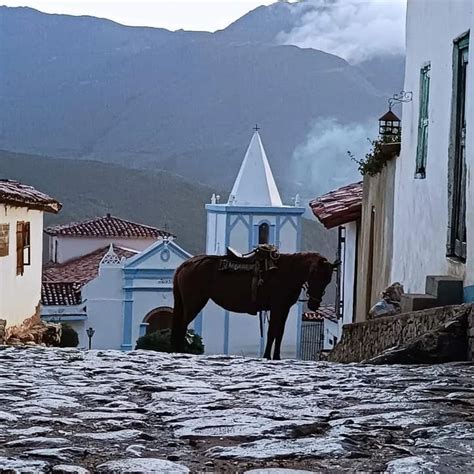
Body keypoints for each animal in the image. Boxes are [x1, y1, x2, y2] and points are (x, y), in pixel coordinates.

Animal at [170, 252, 336, 360]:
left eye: (328, 279)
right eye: (315, 274)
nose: (314, 304)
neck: (287, 272)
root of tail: (185, 265)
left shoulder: (284, 309)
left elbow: (279, 333)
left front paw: (277, 357)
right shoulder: (276, 307)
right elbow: (272, 332)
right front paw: (267, 356)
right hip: (194, 302)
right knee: (182, 326)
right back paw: (180, 351)